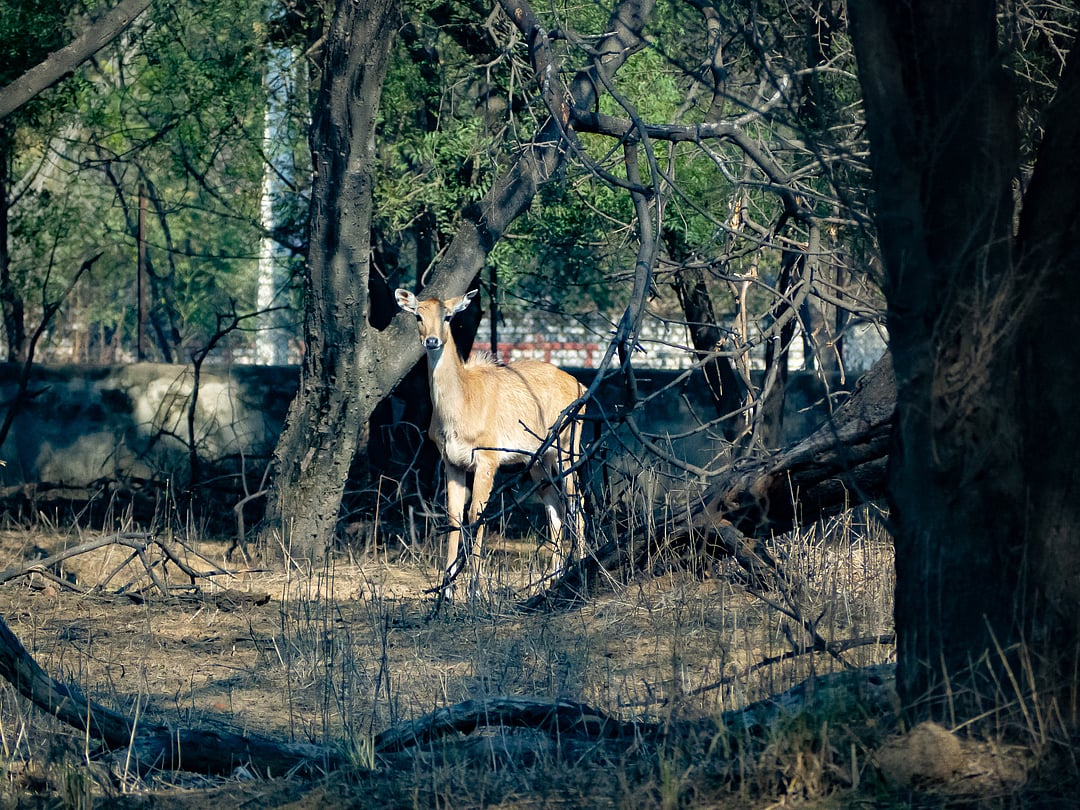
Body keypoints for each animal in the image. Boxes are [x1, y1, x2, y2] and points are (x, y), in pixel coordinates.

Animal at [395, 288, 585, 598]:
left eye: (448, 317)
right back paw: (551, 579)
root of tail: (581, 385)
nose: (432, 341)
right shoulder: (451, 461)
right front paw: (446, 591)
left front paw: (476, 590)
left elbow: (477, 513)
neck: (460, 407)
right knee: (555, 507)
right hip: (538, 460)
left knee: (575, 502)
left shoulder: (487, 458)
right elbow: (454, 516)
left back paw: (576, 570)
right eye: (418, 316)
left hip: (568, 446)